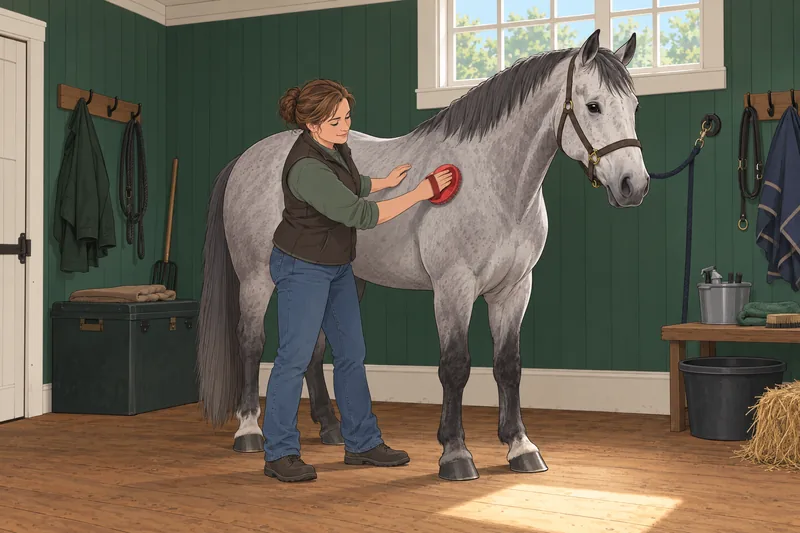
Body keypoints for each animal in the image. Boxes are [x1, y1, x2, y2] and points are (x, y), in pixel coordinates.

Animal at [196, 29, 648, 481]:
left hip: (340, 278)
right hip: (257, 279)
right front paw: (455, 453)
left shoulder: (514, 289)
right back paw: (250, 431)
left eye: (635, 106)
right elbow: (455, 366)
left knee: (315, 348)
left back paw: (331, 428)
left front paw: (520, 447)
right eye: (593, 105)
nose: (634, 185)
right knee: (252, 342)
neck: (494, 184)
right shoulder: (453, 287)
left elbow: (508, 365)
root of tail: (247, 158)